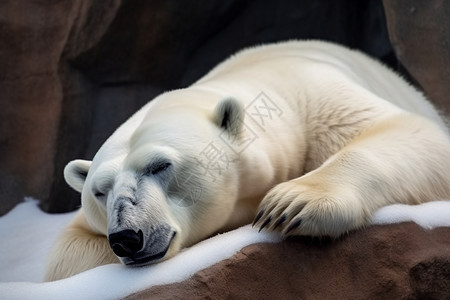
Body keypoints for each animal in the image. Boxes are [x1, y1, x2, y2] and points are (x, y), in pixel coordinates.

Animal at [44, 39, 450, 282]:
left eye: (159, 165)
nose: (126, 238)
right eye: (100, 191)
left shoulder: (321, 101)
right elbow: (66, 258)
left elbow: (416, 136)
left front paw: (290, 204)